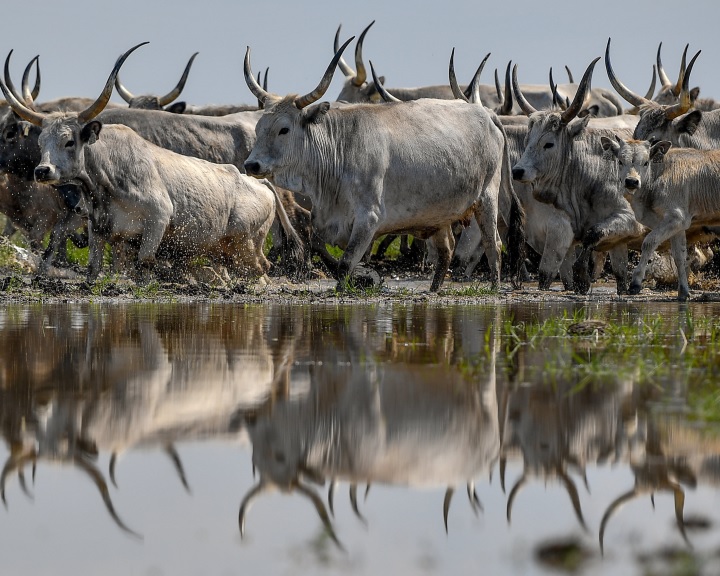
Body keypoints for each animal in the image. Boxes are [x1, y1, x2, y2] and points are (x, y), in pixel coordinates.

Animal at [510, 59, 644, 292]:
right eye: (527, 140)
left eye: (549, 144)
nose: (518, 171)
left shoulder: (628, 220)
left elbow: (593, 235)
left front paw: (583, 277)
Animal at [600, 136, 720, 302]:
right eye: (620, 161)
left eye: (645, 162)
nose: (631, 181)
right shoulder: (678, 225)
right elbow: (679, 257)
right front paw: (683, 292)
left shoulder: (676, 217)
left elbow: (648, 242)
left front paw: (635, 283)